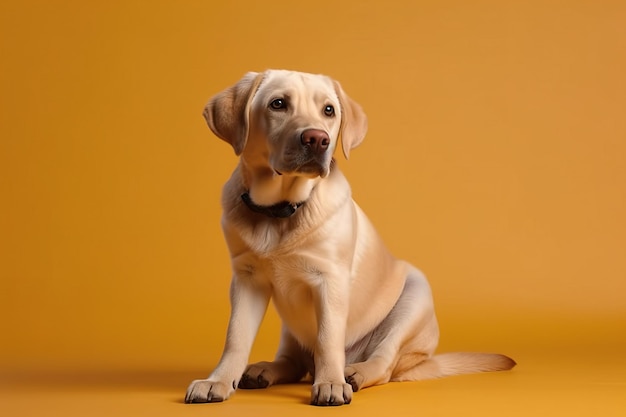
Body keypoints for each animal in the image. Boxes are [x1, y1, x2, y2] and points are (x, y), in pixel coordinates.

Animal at [183, 70, 516, 404]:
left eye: (329, 110)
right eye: (278, 104)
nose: (318, 139)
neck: (280, 211)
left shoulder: (330, 280)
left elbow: (327, 338)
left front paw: (330, 382)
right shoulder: (246, 279)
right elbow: (235, 337)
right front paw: (218, 381)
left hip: (415, 294)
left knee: (382, 362)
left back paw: (354, 372)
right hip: (290, 329)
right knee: (294, 361)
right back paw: (266, 369)